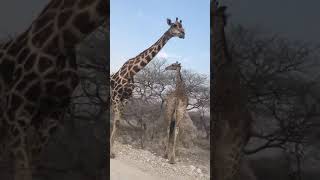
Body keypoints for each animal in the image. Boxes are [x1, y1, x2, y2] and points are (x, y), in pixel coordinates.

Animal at [110, 16, 185, 158]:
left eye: (182, 26)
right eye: (174, 25)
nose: (183, 34)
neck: (131, 72)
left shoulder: (125, 99)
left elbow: (117, 122)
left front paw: (112, 152)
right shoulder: (116, 96)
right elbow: (116, 122)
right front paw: (110, 152)